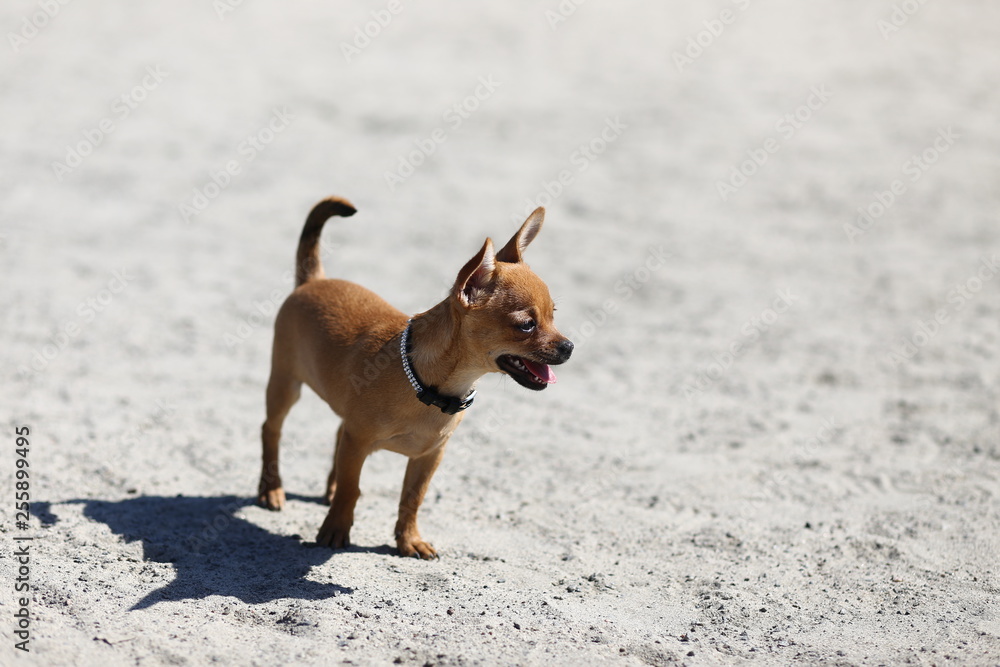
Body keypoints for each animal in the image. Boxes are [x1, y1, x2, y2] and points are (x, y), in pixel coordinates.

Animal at [258, 197, 576, 560]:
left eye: (554, 316)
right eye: (526, 325)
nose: (569, 347)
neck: (432, 388)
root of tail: (313, 280)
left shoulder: (429, 456)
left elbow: (412, 498)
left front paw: (408, 539)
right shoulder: (360, 442)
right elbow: (352, 490)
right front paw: (335, 530)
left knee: (337, 434)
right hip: (285, 385)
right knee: (271, 430)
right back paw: (271, 490)